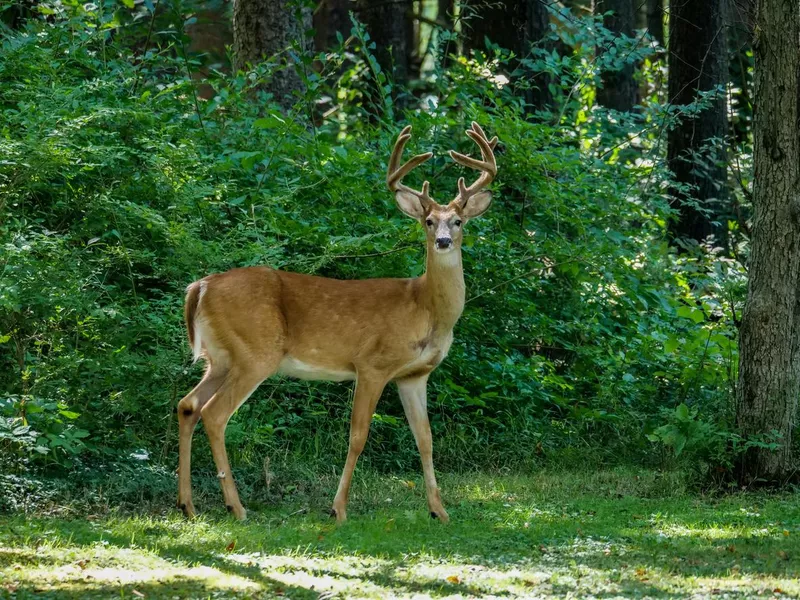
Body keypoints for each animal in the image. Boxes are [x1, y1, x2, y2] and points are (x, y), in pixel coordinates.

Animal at [178, 120, 496, 520]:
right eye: (427, 221)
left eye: (457, 221)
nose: (442, 241)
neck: (425, 307)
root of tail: (200, 286)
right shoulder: (372, 364)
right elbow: (358, 436)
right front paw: (338, 509)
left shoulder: (414, 375)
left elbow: (425, 439)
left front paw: (439, 511)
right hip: (255, 352)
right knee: (214, 414)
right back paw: (236, 507)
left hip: (220, 357)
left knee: (187, 405)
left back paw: (187, 504)